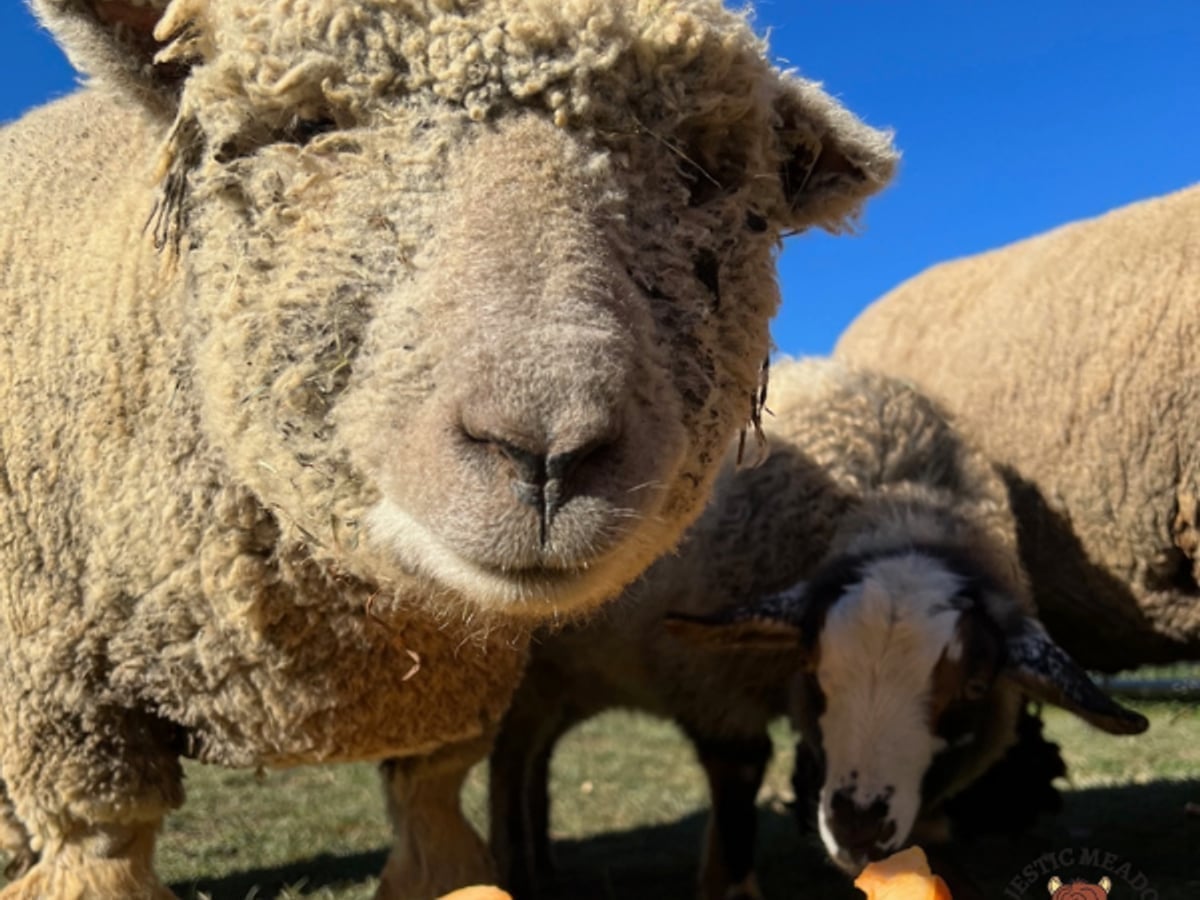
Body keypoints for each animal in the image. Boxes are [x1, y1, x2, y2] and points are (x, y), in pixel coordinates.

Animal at [0, 1, 899, 897]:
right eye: (305, 126)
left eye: (705, 169)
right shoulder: (65, 706)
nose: (547, 451)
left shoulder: (447, 714)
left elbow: (433, 817)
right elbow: (101, 842)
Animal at [489, 357, 1147, 900]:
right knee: (511, 756)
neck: (893, 495)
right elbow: (741, 777)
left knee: (533, 754)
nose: (857, 828)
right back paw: (512, 867)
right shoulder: (711, 685)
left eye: (976, 687)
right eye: (814, 670)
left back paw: (539, 864)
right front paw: (729, 888)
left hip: (568, 678)